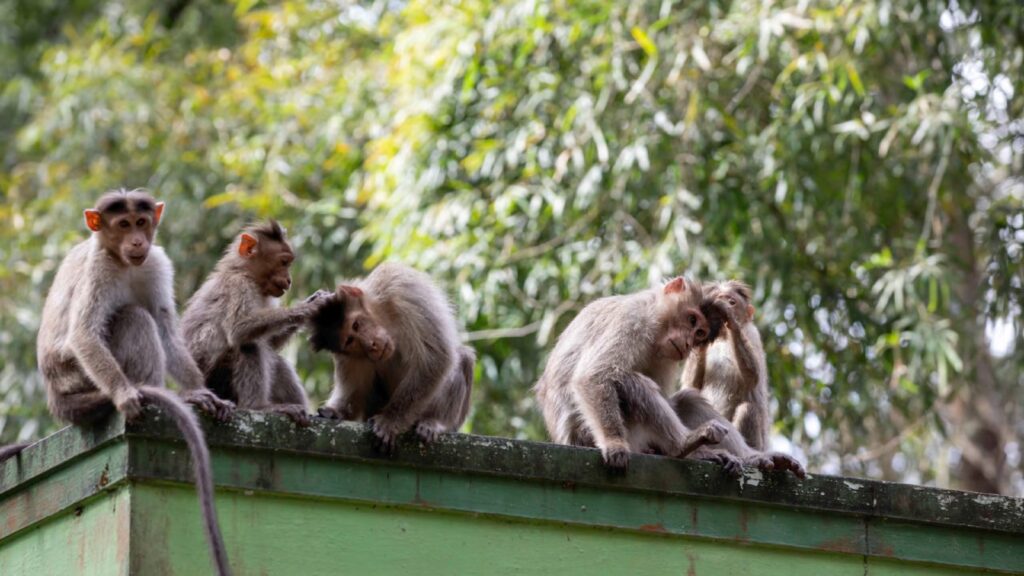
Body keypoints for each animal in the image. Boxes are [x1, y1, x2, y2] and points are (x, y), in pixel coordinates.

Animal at [36, 189, 233, 576]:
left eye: (141, 222)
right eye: (123, 224)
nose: (138, 240)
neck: (123, 262)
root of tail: (56, 398)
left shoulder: (155, 262)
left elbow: (166, 327)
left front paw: (198, 391)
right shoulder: (99, 269)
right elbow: (83, 334)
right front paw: (125, 394)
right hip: (76, 376)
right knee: (132, 317)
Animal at [182, 221, 330, 427]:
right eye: (284, 262)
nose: (289, 280)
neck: (243, 272)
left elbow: (271, 342)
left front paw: (313, 301)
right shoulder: (238, 285)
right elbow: (239, 329)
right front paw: (311, 306)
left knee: (273, 357)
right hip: (213, 380)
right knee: (247, 344)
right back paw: (259, 407)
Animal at [309, 263, 475, 448]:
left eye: (356, 325)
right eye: (350, 341)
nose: (371, 346)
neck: (382, 313)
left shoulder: (400, 287)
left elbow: (436, 357)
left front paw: (390, 420)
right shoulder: (345, 354)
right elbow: (356, 391)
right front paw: (334, 411)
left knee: (462, 357)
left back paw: (436, 422)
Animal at [533, 276, 739, 471]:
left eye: (699, 333)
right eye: (692, 320)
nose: (688, 344)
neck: (656, 325)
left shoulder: (665, 355)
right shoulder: (634, 318)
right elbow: (594, 375)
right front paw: (613, 442)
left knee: (687, 400)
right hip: (587, 433)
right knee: (627, 380)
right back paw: (683, 445)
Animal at [681, 280, 771, 450]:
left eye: (732, 301)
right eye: (720, 296)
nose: (725, 303)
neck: (724, 337)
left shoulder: (752, 333)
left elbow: (753, 377)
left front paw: (731, 320)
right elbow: (691, 386)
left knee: (747, 409)